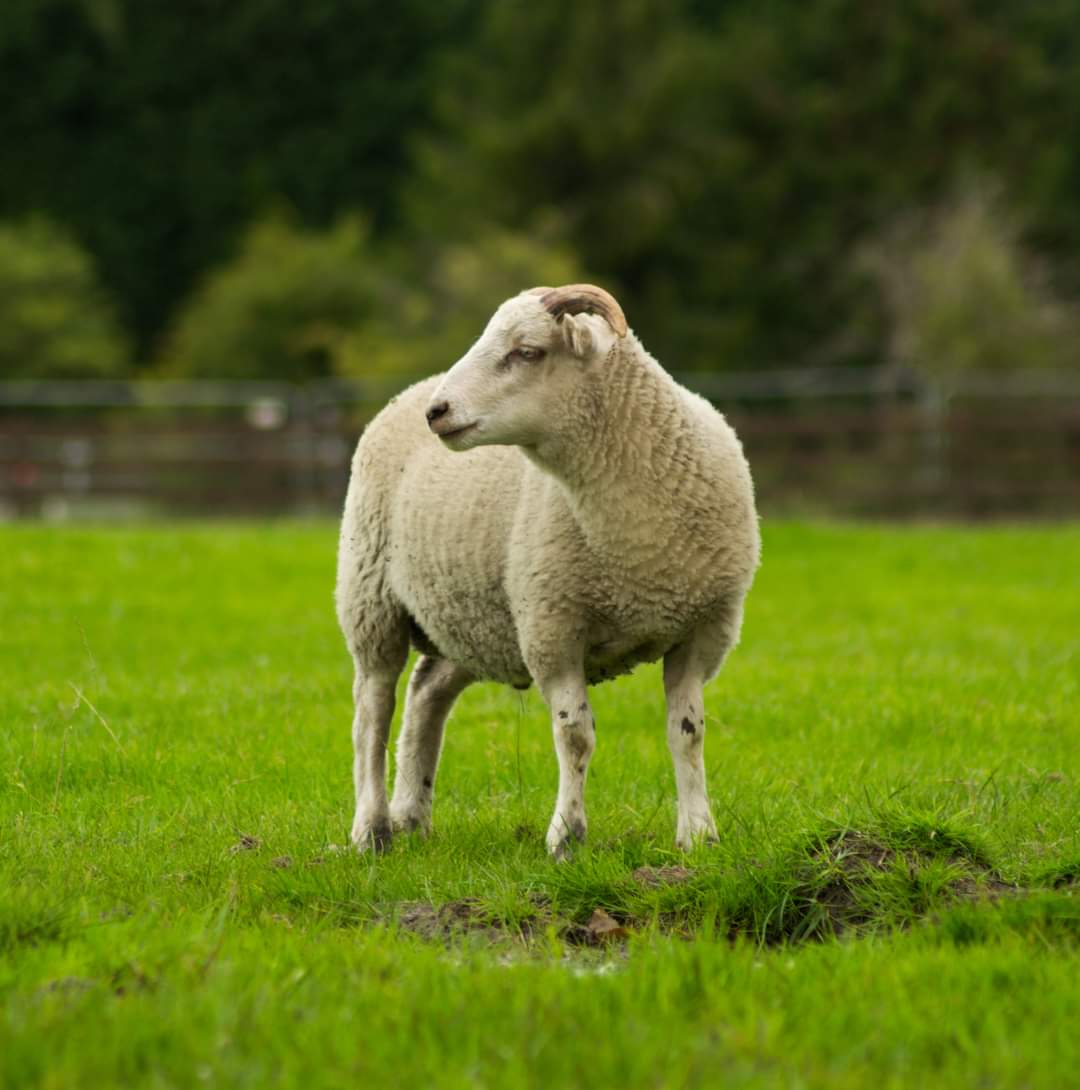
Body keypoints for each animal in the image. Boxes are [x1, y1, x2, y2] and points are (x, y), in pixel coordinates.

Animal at [335, 284, 760, 857]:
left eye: (528, 351)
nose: (437, 411)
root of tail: (406, 392)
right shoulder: (551, 628)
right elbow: (575, 735)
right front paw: (566, 837)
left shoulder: (703, 632)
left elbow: (687, 733)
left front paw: (698, 834)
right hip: (371, 599)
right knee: (371, 713)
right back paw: (371, 830)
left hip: (473, 618)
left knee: (426, 695)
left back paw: (412, 817)